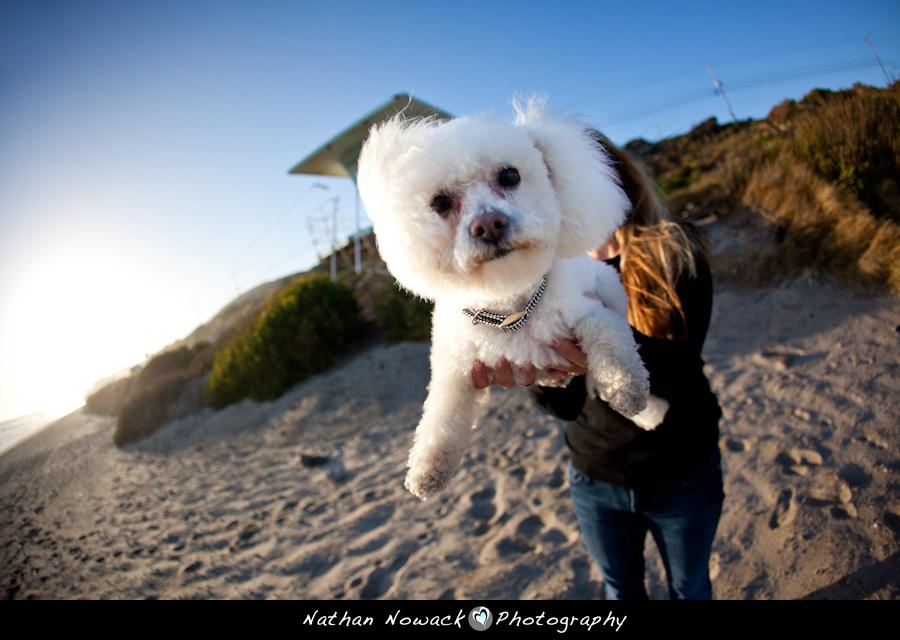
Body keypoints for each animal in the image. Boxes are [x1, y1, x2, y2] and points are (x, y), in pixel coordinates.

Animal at [356, 101, 660, 500]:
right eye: (440, 202)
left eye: (510, 176)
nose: (488, 224)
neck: (509, 306)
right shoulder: (454, 370)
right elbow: (440, 420)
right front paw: (427, 468)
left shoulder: (592, 313)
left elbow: (612, 347)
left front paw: (627, 391)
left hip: (608, 286)